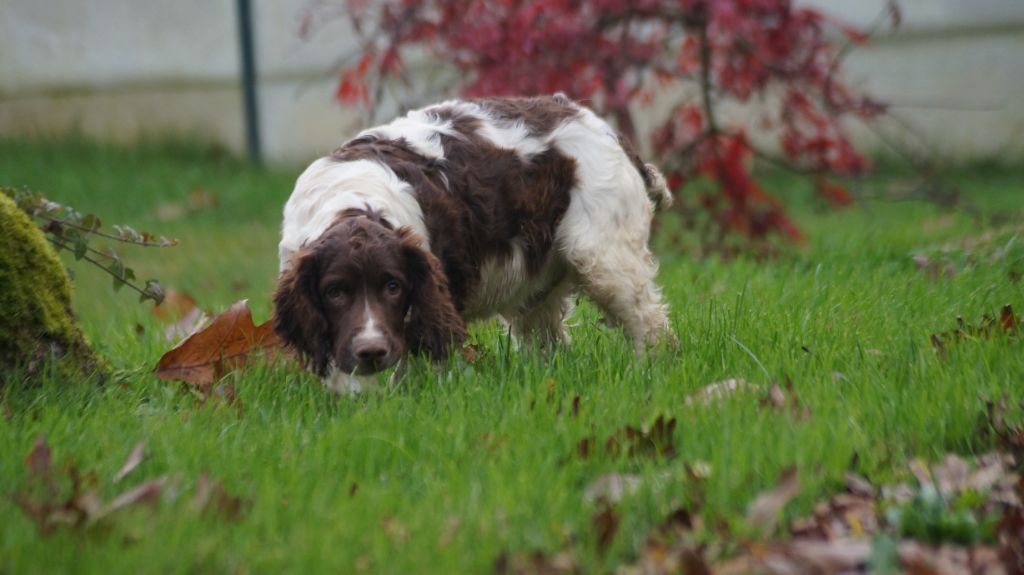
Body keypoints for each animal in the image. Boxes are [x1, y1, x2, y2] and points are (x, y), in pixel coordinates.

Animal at [272, 95, 675, 392]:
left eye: (393, 286)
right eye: (335, 292)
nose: (372, 350)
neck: (352, 203)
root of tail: (607, 131)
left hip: (601, 257)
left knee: (649, 322)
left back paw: (650, 373)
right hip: (537, 288)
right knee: (547, 337)